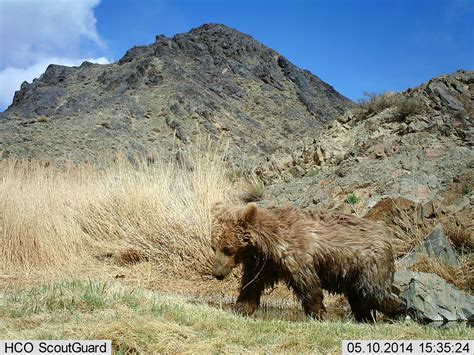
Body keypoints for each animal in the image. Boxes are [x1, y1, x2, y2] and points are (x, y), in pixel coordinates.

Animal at [212, 203, 408, 322]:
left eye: (227, 248)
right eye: (214, 247)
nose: (217, 273)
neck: (267, 245)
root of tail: (385, 234)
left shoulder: (296, 254)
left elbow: (308, 285)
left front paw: (317, 314)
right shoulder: (264, 265)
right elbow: (251, 286)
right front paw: (241, 308)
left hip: (369, 263)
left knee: (375, 292)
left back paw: (400, 310)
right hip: (355, 274)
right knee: (359, 298)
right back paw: (365, 318)